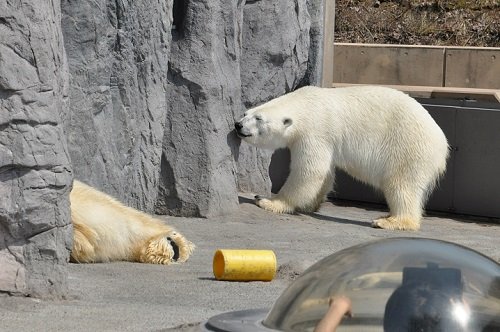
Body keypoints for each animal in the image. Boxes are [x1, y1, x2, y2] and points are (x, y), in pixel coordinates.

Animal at [234, 85, 450, 231]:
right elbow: (325, 174)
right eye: (245, 113)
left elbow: (310, 171)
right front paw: (310, 204)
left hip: (408, 149)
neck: (306, 104)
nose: (238, 125)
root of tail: (443, 145)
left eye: (259, 119)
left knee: (401, 185)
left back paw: (389, 221)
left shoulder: (315, 131)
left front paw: (267, 200)